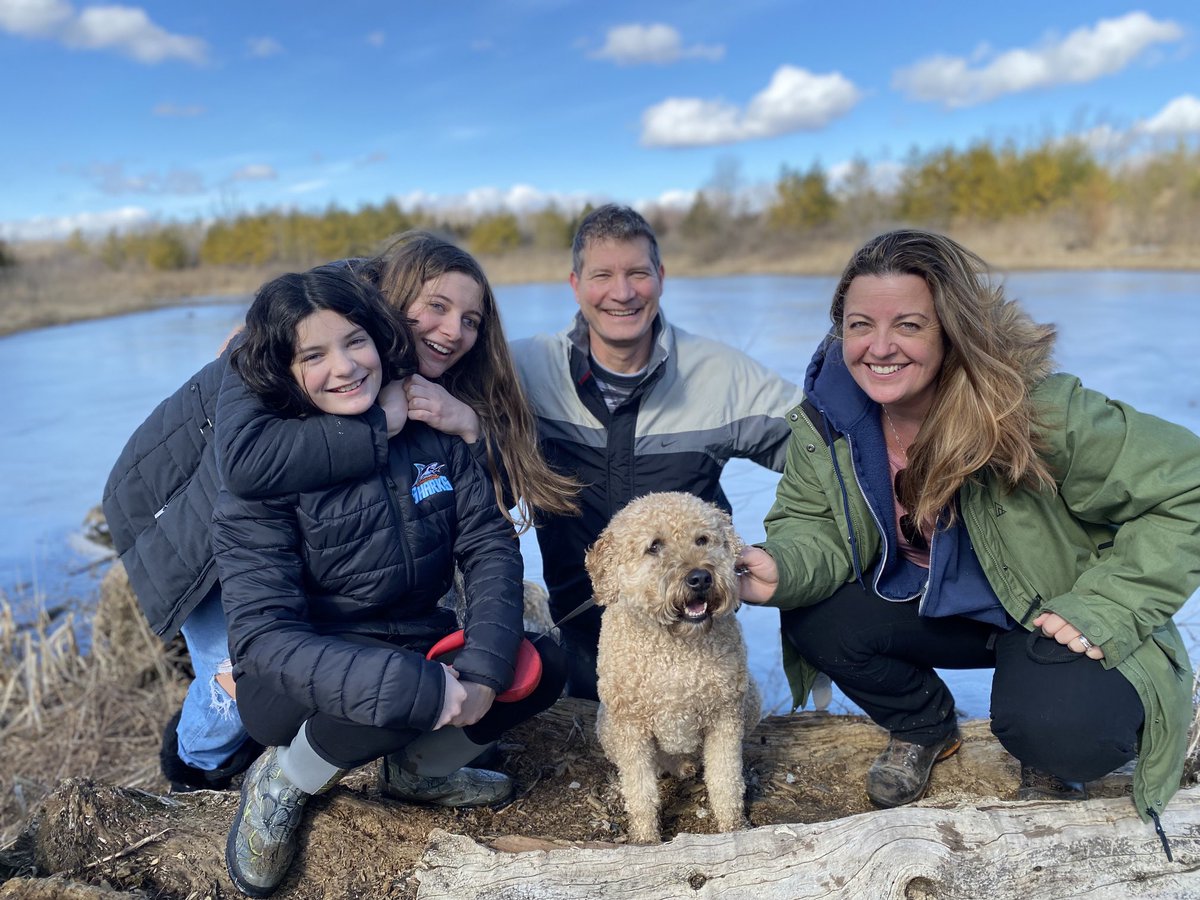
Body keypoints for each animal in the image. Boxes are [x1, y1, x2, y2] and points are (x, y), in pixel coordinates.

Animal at [585, 494, 763, 844]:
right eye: (654, 546)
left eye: (702, 539)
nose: (700, 577)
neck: (676, 649)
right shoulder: (631, 727)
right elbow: (640, 791)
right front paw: (645, 838)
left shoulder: (725, 716)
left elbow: (726, 780)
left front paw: (734, 827)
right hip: (607, 726)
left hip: (751, 698)